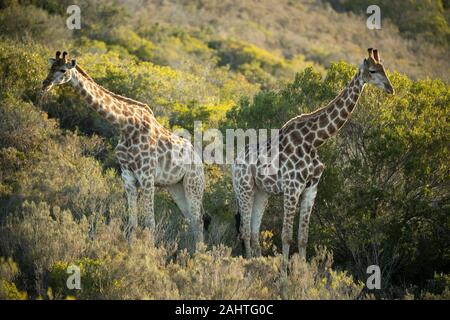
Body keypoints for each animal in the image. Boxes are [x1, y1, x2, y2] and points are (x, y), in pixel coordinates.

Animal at [41, 50, 207, 245]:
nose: (45, 84)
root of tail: (199, 159)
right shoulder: (128, 177)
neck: (126, 126)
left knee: (198, 221)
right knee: (191, 220)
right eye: (50, 67)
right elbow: (132, 223)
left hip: (193, 183)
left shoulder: (147, 176)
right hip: (175, 187)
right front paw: (130, 249)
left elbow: (150, 223)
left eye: (62, 70)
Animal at [232, 48, 394, 272]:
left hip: (261, 193)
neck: (314, 141)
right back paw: (248, 265)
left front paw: (302, 272)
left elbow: (303, 238)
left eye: (384, 68)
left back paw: (257, 263)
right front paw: (284, 274)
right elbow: (286, 236)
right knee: (245, 230)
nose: (390, 89)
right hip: (244, 188)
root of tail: (234, 162)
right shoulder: (292, 187)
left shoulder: (311, 188)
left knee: (254, 232)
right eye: (372, 70)